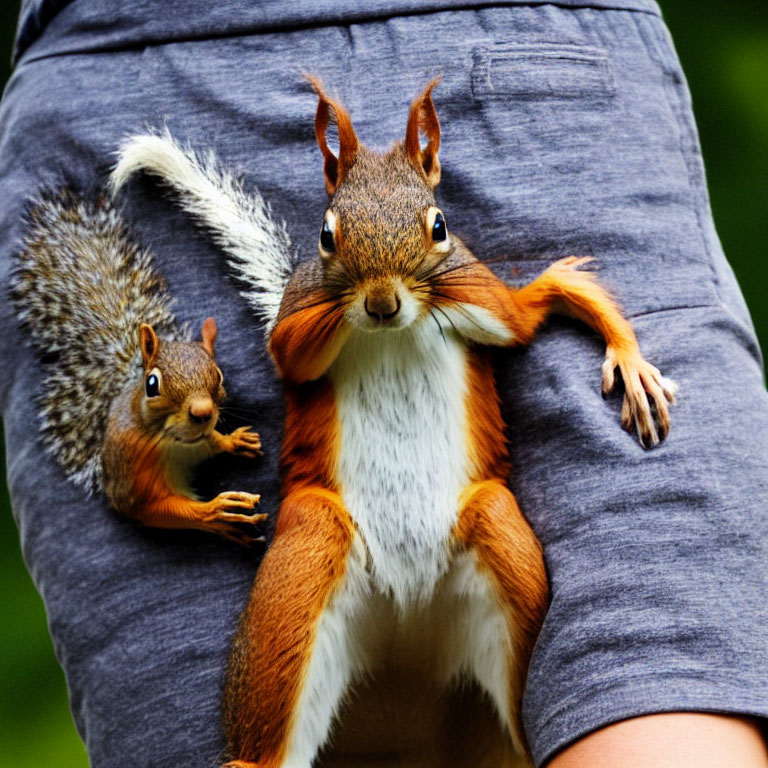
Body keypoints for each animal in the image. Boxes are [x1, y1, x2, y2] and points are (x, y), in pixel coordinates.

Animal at [9, 189, 264, 544]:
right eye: (153, 385)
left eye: (218, 374)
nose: (202, 413)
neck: (173, 442)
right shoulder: (133, 475)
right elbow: (154, 510)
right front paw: (215, 513)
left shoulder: (199, 440)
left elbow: (213, 441)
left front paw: (233, 441)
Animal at [111, 78, 676, 768]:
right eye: (326, 234)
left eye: (439, 225)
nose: (382, 303)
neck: (392, 332)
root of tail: (407, 651)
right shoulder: (298, 322)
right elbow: (289, 350)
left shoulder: (483, 299)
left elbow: (530, 308)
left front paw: (631, 363)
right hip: (305, 566)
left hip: (497, 537)